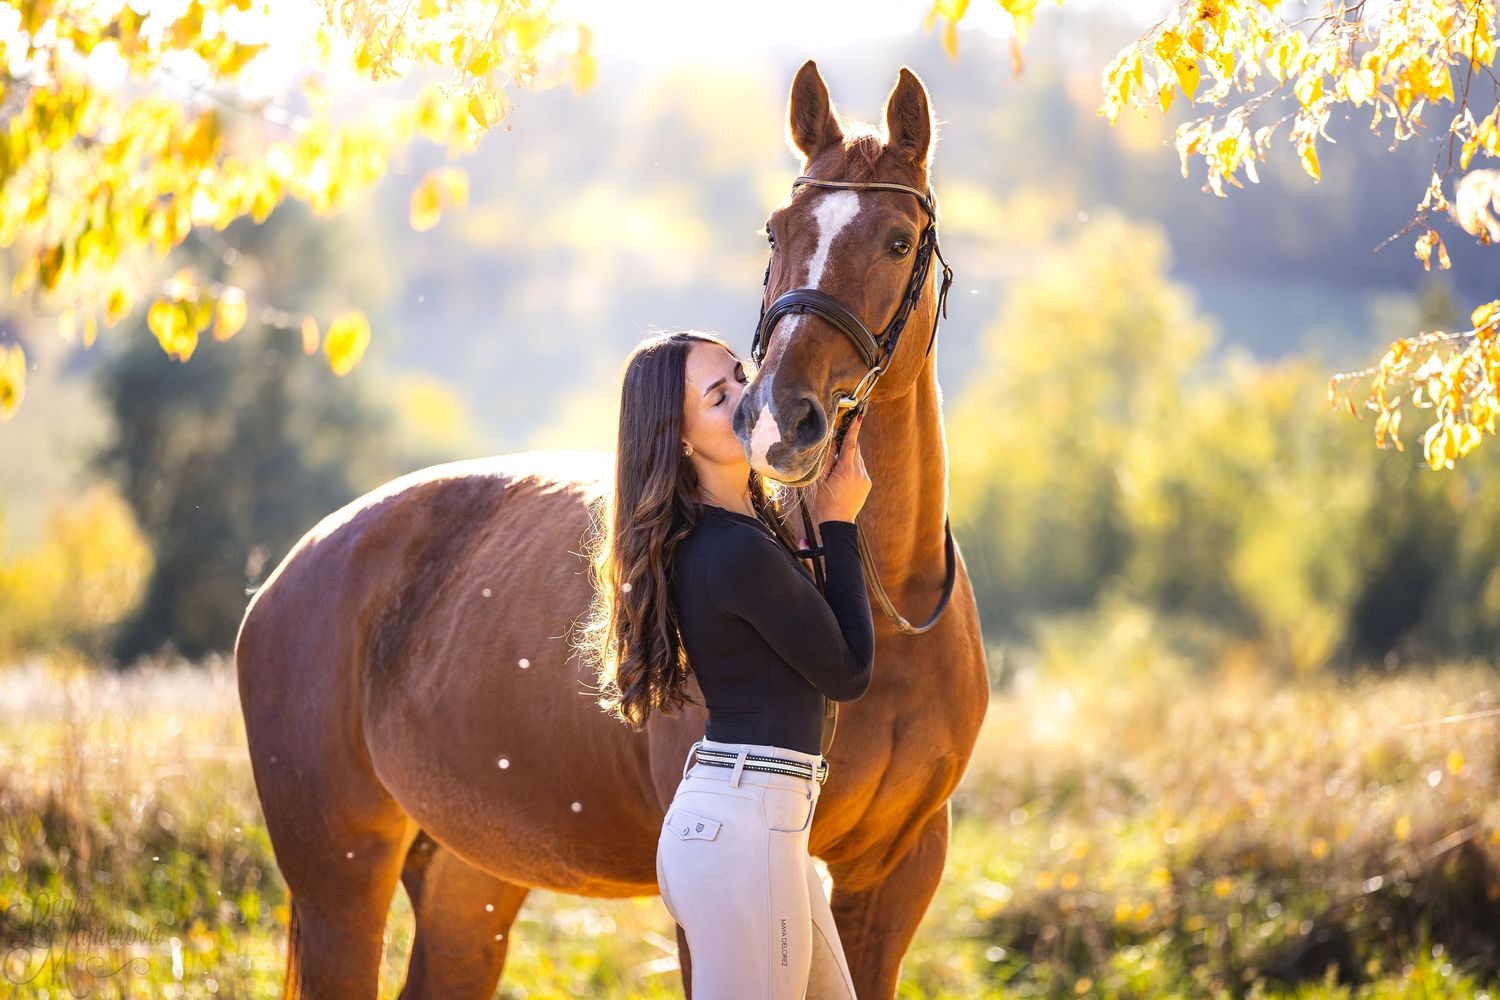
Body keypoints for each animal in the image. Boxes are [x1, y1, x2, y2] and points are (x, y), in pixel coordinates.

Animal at [234, 59, 989, 999]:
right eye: (776, 231)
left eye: (895, 240)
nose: (782, 420)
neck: (889, 614)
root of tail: (289, 574)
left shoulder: (896, 877)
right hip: (340, 880)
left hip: (469, 880)